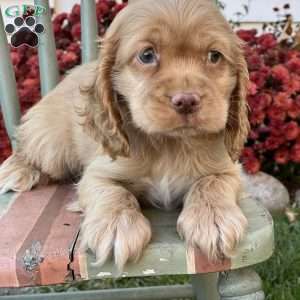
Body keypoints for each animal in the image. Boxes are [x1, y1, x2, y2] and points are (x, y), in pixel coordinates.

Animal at [0, 0, 248, 270]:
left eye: (214, 56)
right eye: (147, 55)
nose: (187, 100)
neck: (170, 144)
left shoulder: (229, 169)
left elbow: (211, 182)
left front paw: (213, 219)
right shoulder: (98, 172)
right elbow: (114, 192)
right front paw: (117, 226)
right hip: (52, 147)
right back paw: (19, 170)